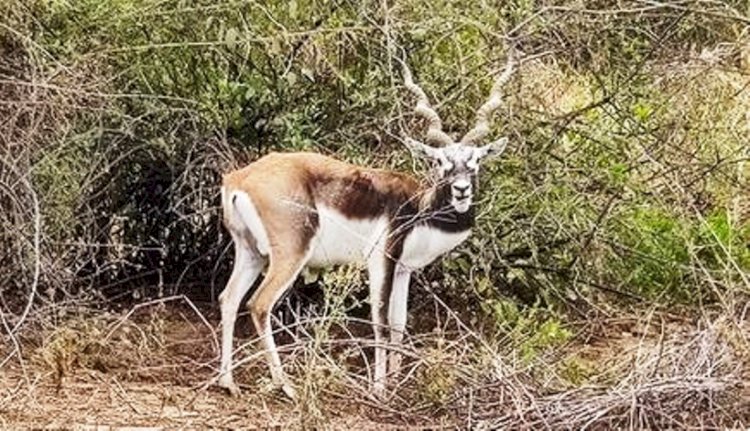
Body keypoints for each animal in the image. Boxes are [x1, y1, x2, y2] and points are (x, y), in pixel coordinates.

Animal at [217, 55, 516, 400]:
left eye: (476, 161)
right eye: (440, 161)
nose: (462, 190)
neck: (418, 207)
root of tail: (240, 179)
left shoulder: (403, 269)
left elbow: (399, 324)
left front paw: (397, 383)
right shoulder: (380, 260)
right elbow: (380, 322)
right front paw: (379, 388)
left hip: (251, 252)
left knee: (229, 298)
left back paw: (227, 381)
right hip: (291, 254)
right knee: (259, 304)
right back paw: (287, 386)